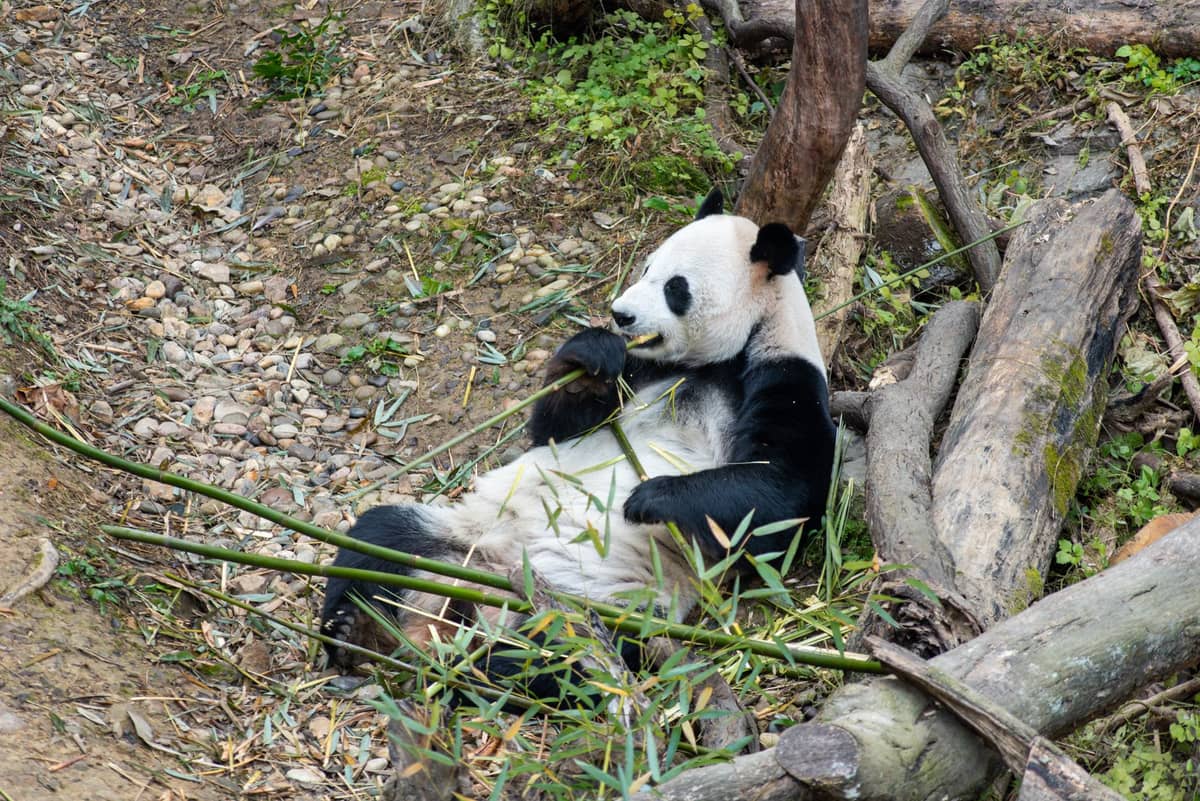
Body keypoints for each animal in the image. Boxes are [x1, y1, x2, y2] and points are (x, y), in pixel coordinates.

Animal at [320, 189, 836, 684]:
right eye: (647, 267)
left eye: (676, 288)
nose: (621, 315)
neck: (714, 361)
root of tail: (481, 594)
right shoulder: (642, 367)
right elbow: (555, 429)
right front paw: (589, 357)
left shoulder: (784, 376)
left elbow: (777, 502)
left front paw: (647, 498)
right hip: (461, 536)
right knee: (380, 538)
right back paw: (356, 631)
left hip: (614, 605)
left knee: (567, 659)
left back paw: (480, 663)